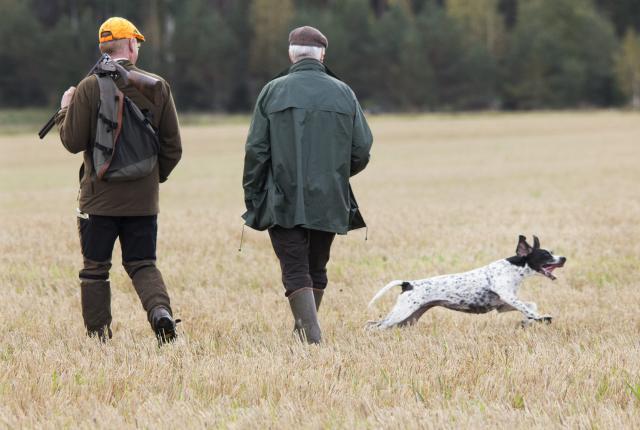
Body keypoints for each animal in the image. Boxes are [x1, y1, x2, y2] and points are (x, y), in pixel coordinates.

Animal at [368, 235, 568, 330]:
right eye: (545, 255)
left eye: (552, 252)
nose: (564, 258)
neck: (514, 268)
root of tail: (408, 283)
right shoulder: (508, 297)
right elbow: (529, 309)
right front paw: (540, 318)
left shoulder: (503, 305)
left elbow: (531, 305)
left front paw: (528, 321)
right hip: (401, 314)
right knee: (374, 326)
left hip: (408, 318)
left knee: (373, 324)